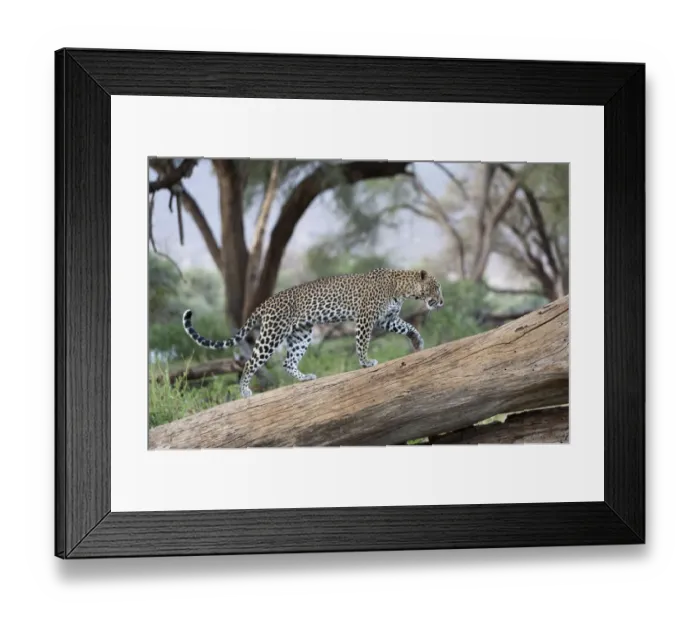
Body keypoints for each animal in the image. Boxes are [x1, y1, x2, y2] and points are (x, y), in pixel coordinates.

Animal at [181, 267, 444, 398]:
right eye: (436, 287)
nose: (442, 301)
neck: (402, 287)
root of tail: (266, 303)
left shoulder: (387, 319)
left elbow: (408, 326)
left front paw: (417, 341)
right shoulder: (366, 317)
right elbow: (361, 343)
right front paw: (366, 363)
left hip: (301, 334)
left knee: (288, 362)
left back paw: (305, 378)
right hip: (272, 334)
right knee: (250, 362)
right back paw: (245, 391)